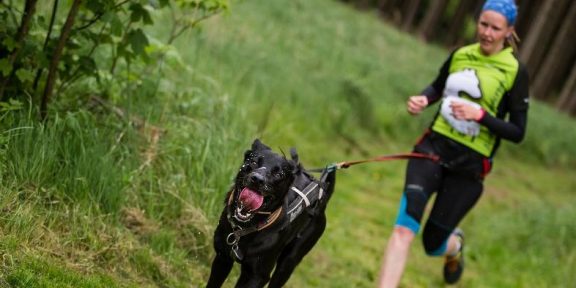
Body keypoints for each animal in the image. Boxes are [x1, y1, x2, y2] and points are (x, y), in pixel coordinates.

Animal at [207, 140, 336, 288]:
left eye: (279, 174)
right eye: (253, 162)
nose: (257, 179)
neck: (245, 229)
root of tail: (323, 198)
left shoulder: (259, 276)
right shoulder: (223, 259)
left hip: (288, 263)